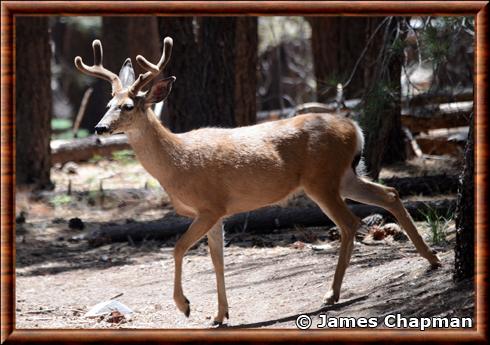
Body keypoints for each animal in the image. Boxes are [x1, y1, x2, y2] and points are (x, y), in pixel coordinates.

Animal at [74, 37, 442, 326]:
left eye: (129, 106)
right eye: (108, 103)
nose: (100, 127)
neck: (177, 163)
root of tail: (356, 129)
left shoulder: (209, 205)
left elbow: (178, 248)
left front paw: (186, 306)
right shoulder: (218, 212)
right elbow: (217, 259)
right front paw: (220, 315)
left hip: (321, 179)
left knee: (350, 222)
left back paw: (331, 294)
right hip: (344, 175)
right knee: (389, 193)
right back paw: (432, 259)